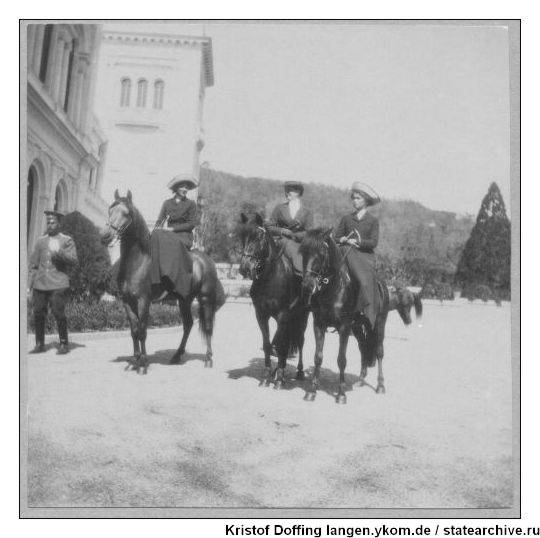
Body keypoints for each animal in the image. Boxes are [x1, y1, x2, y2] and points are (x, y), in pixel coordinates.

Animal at [100, 190, 225, 373]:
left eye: (126, 213)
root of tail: (206, 260)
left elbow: (142, 331)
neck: (138, 262)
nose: (105, 236)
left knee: (208, 326)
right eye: (110, 210)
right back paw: (177, 356)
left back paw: (208, 359)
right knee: (188, 325)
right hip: (184, 300)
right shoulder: (127, 301)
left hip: (205, 298)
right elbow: (134, 330)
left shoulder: (143, 301)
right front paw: (134, 360)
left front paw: (143, 364)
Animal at [236, 212, 309, 389]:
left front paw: (280, 379)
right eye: (242, 236)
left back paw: (299, 372)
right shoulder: (261, 315)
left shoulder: (283, 316)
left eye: (258, 237)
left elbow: (281, 344)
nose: (245, 268)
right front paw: (267, 376)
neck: (270, 278)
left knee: (300, 341)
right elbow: (268, 344)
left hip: (302, 316)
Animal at [299, 229, 390, 403]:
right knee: (363, 346)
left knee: (379, 351)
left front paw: (341, 394)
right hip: (357, 327)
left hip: (379, 324)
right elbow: (318, 357)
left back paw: (381, 385)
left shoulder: (344, 327)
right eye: (303, 252)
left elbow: (341, 359)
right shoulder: (319, 325)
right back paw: (361, 379)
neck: (334, 289)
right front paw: (312, 391)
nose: (307, 285)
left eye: (321, 253)